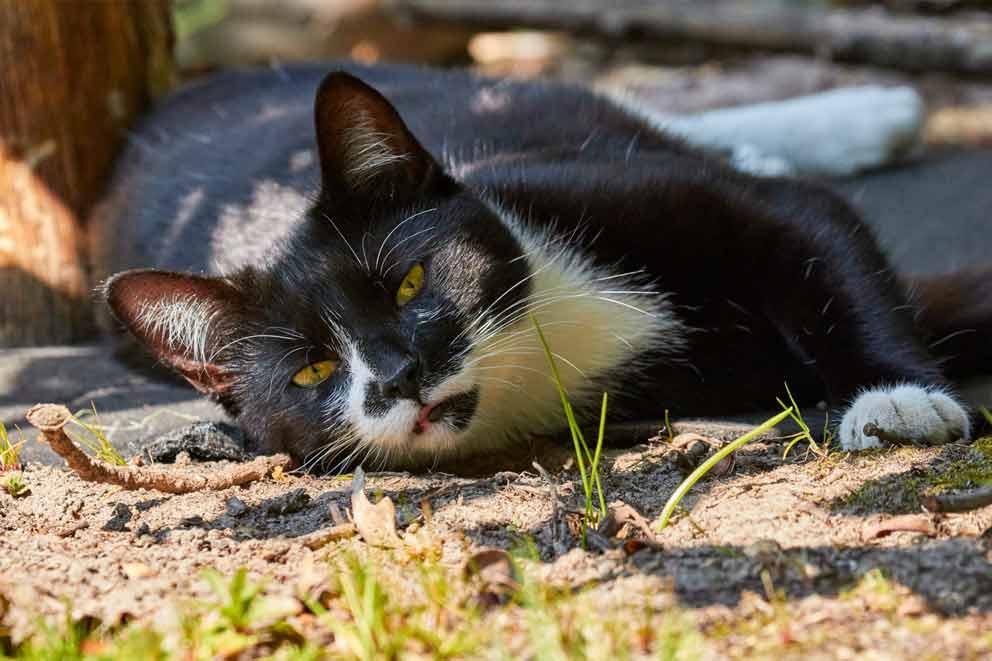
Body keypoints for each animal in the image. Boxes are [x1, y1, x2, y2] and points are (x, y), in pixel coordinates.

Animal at [97, 60, 992, 470]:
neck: (543, 342)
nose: (398, 375)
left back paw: (868, 112)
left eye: (411, 282)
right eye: (314, 370)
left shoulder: (586, 186)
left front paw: (901, 398)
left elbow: (816, 229)